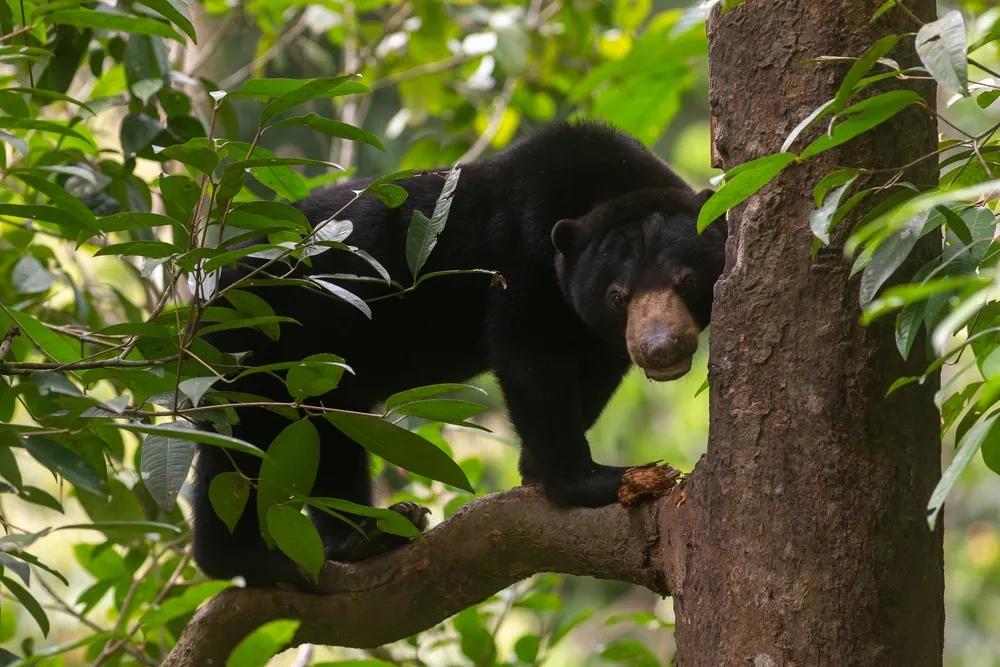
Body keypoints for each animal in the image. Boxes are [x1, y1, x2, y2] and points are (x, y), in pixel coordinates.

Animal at [190, 120, 728, 591]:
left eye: (687, 281)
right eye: (618, 295)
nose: (661, 346)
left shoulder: (589, 327)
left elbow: (592, 373)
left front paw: (536, 464)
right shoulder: (520, 263)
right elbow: (530, 361)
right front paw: (594, 479)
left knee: (327, 427)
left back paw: (367, 536)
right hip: (259, 335)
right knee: (239, 430)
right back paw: (249, 561)